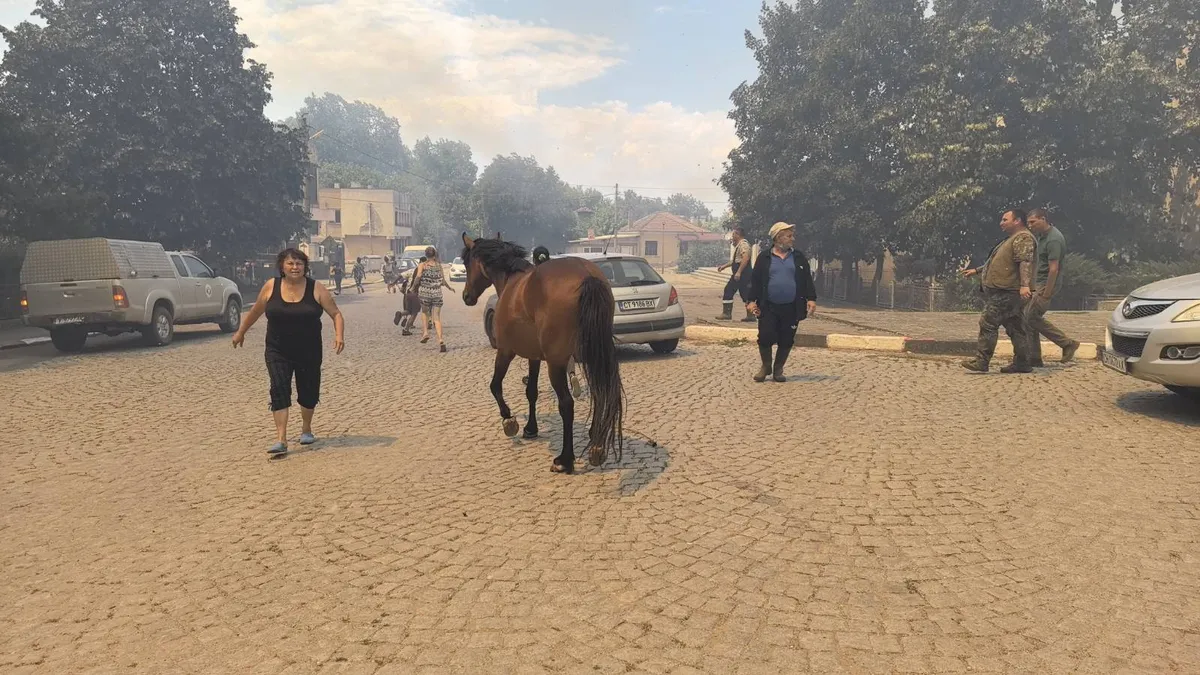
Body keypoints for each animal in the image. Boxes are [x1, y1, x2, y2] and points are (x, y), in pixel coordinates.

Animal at [460, 233, 628, 473]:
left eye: (466, 263)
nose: (466, 296)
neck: (512, 282)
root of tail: (587, 275)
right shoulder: (535, 356)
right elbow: (531, 391)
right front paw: (531, 428)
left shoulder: (505, 351)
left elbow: (495, 385)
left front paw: (509, 421)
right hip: (592, 355)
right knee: (599, 392)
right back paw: (596, 444)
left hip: (556, 364)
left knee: (567, 404)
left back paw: (565, 459)